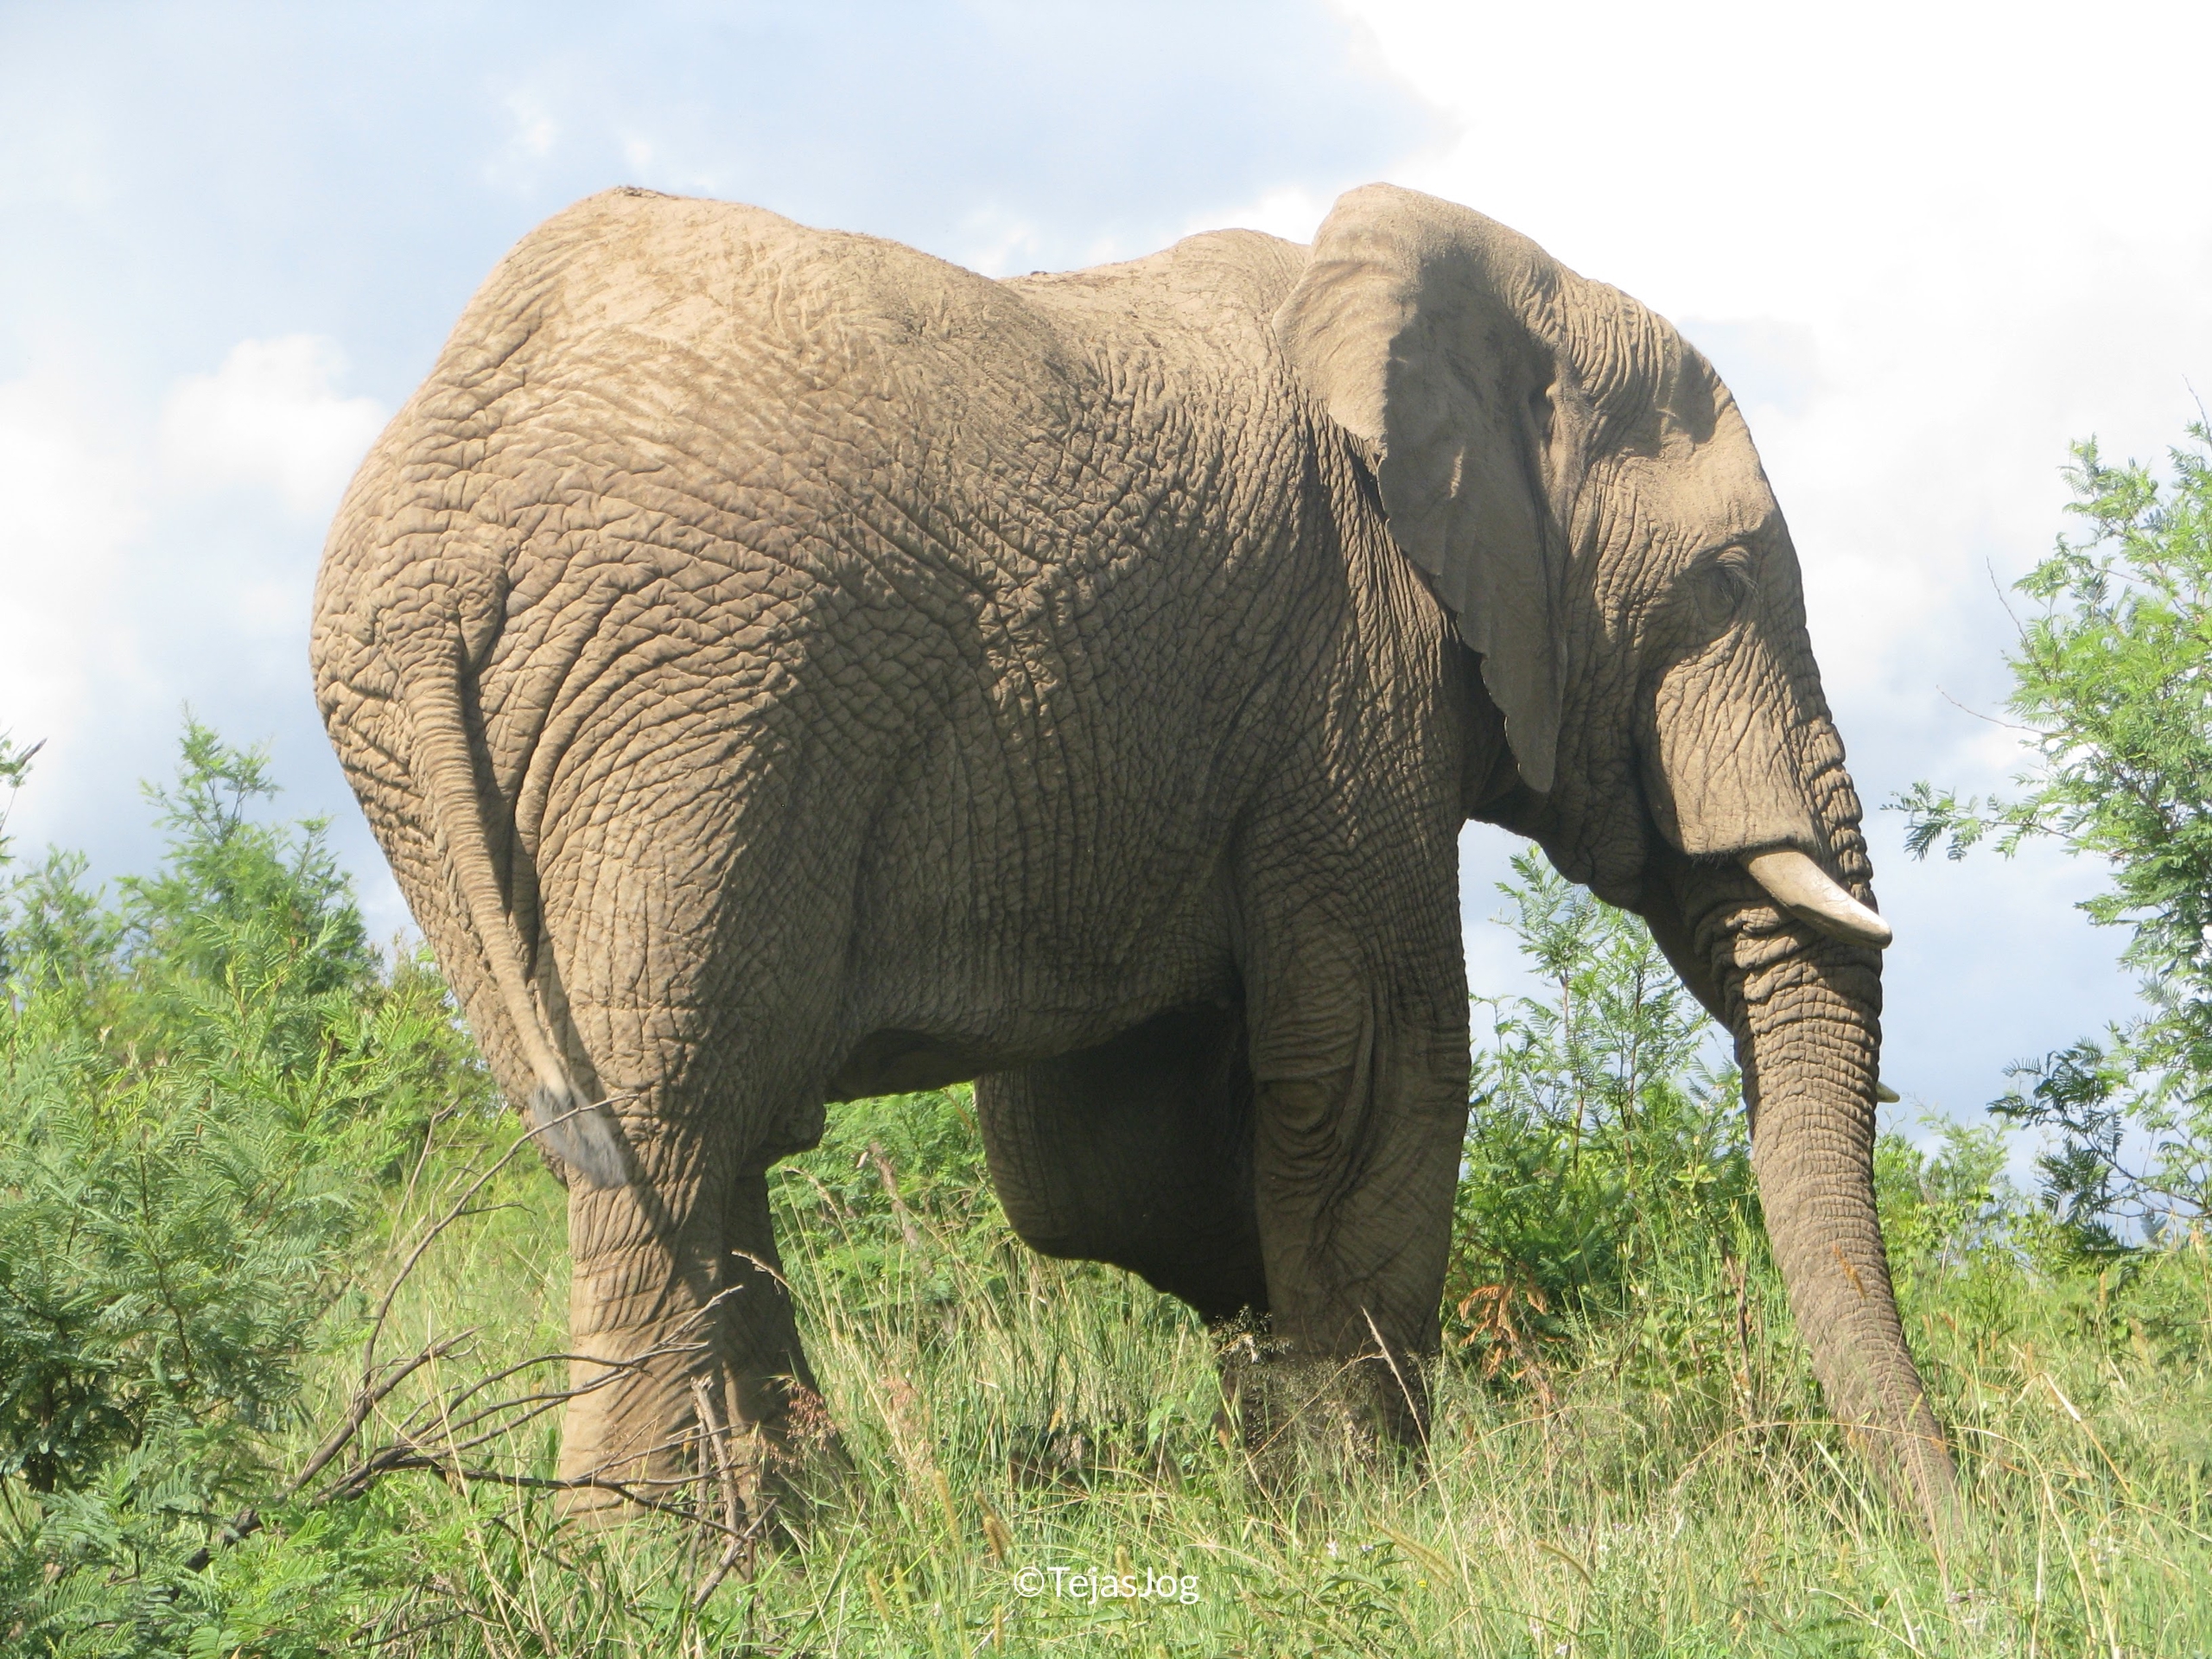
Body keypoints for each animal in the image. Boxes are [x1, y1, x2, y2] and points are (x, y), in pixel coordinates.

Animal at [311, 181, 1955, 1523]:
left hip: (452, 742)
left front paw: (1274, 1427)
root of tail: (436, 528)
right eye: (1727, 581)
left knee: (670, 1126)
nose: (1956, 1529)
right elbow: (1383, 1064)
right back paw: (654, 1563)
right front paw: (1365, 1510)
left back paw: (797, 1539)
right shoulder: (1352, 665)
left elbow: (1094, 1154)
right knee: (673, 1106)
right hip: (700, 695)